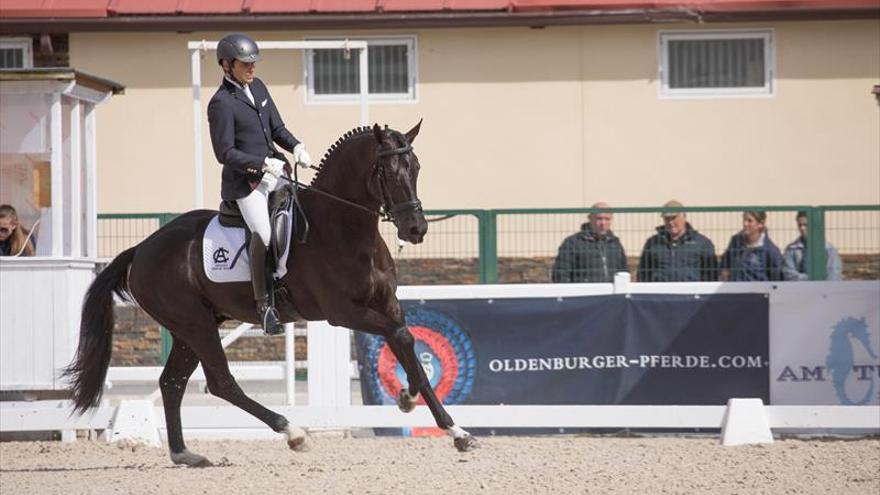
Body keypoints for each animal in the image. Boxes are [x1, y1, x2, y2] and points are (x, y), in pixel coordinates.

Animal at [64, 122, 478, 466]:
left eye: (416, 168)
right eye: (389, 172)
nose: (416, 229)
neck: (341, 228)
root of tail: (141, 249)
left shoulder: (387, 304)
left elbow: (408, 346)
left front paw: (446, 424)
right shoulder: (344, 312)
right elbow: (401, 337)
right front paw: (415, 403)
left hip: (190, 327)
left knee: (172, 383)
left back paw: (185, 454)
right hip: (195, 325)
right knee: (221, 383)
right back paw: (293, 432)